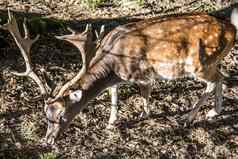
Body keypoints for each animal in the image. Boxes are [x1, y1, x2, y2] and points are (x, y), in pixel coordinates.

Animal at [0, 9, 237, 145]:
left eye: (60, 116)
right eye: (45, 115)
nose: (47, 141)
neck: (114, 65)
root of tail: (232, 29)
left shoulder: (143, 74)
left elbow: (144, 94)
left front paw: (143, 114)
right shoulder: (117, 80)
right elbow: (113, 93)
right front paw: (111, 121)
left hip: (200, 63)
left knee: (214, 81)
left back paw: (189, 117)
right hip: (213, 61)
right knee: (223, 76)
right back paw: (214, 112)